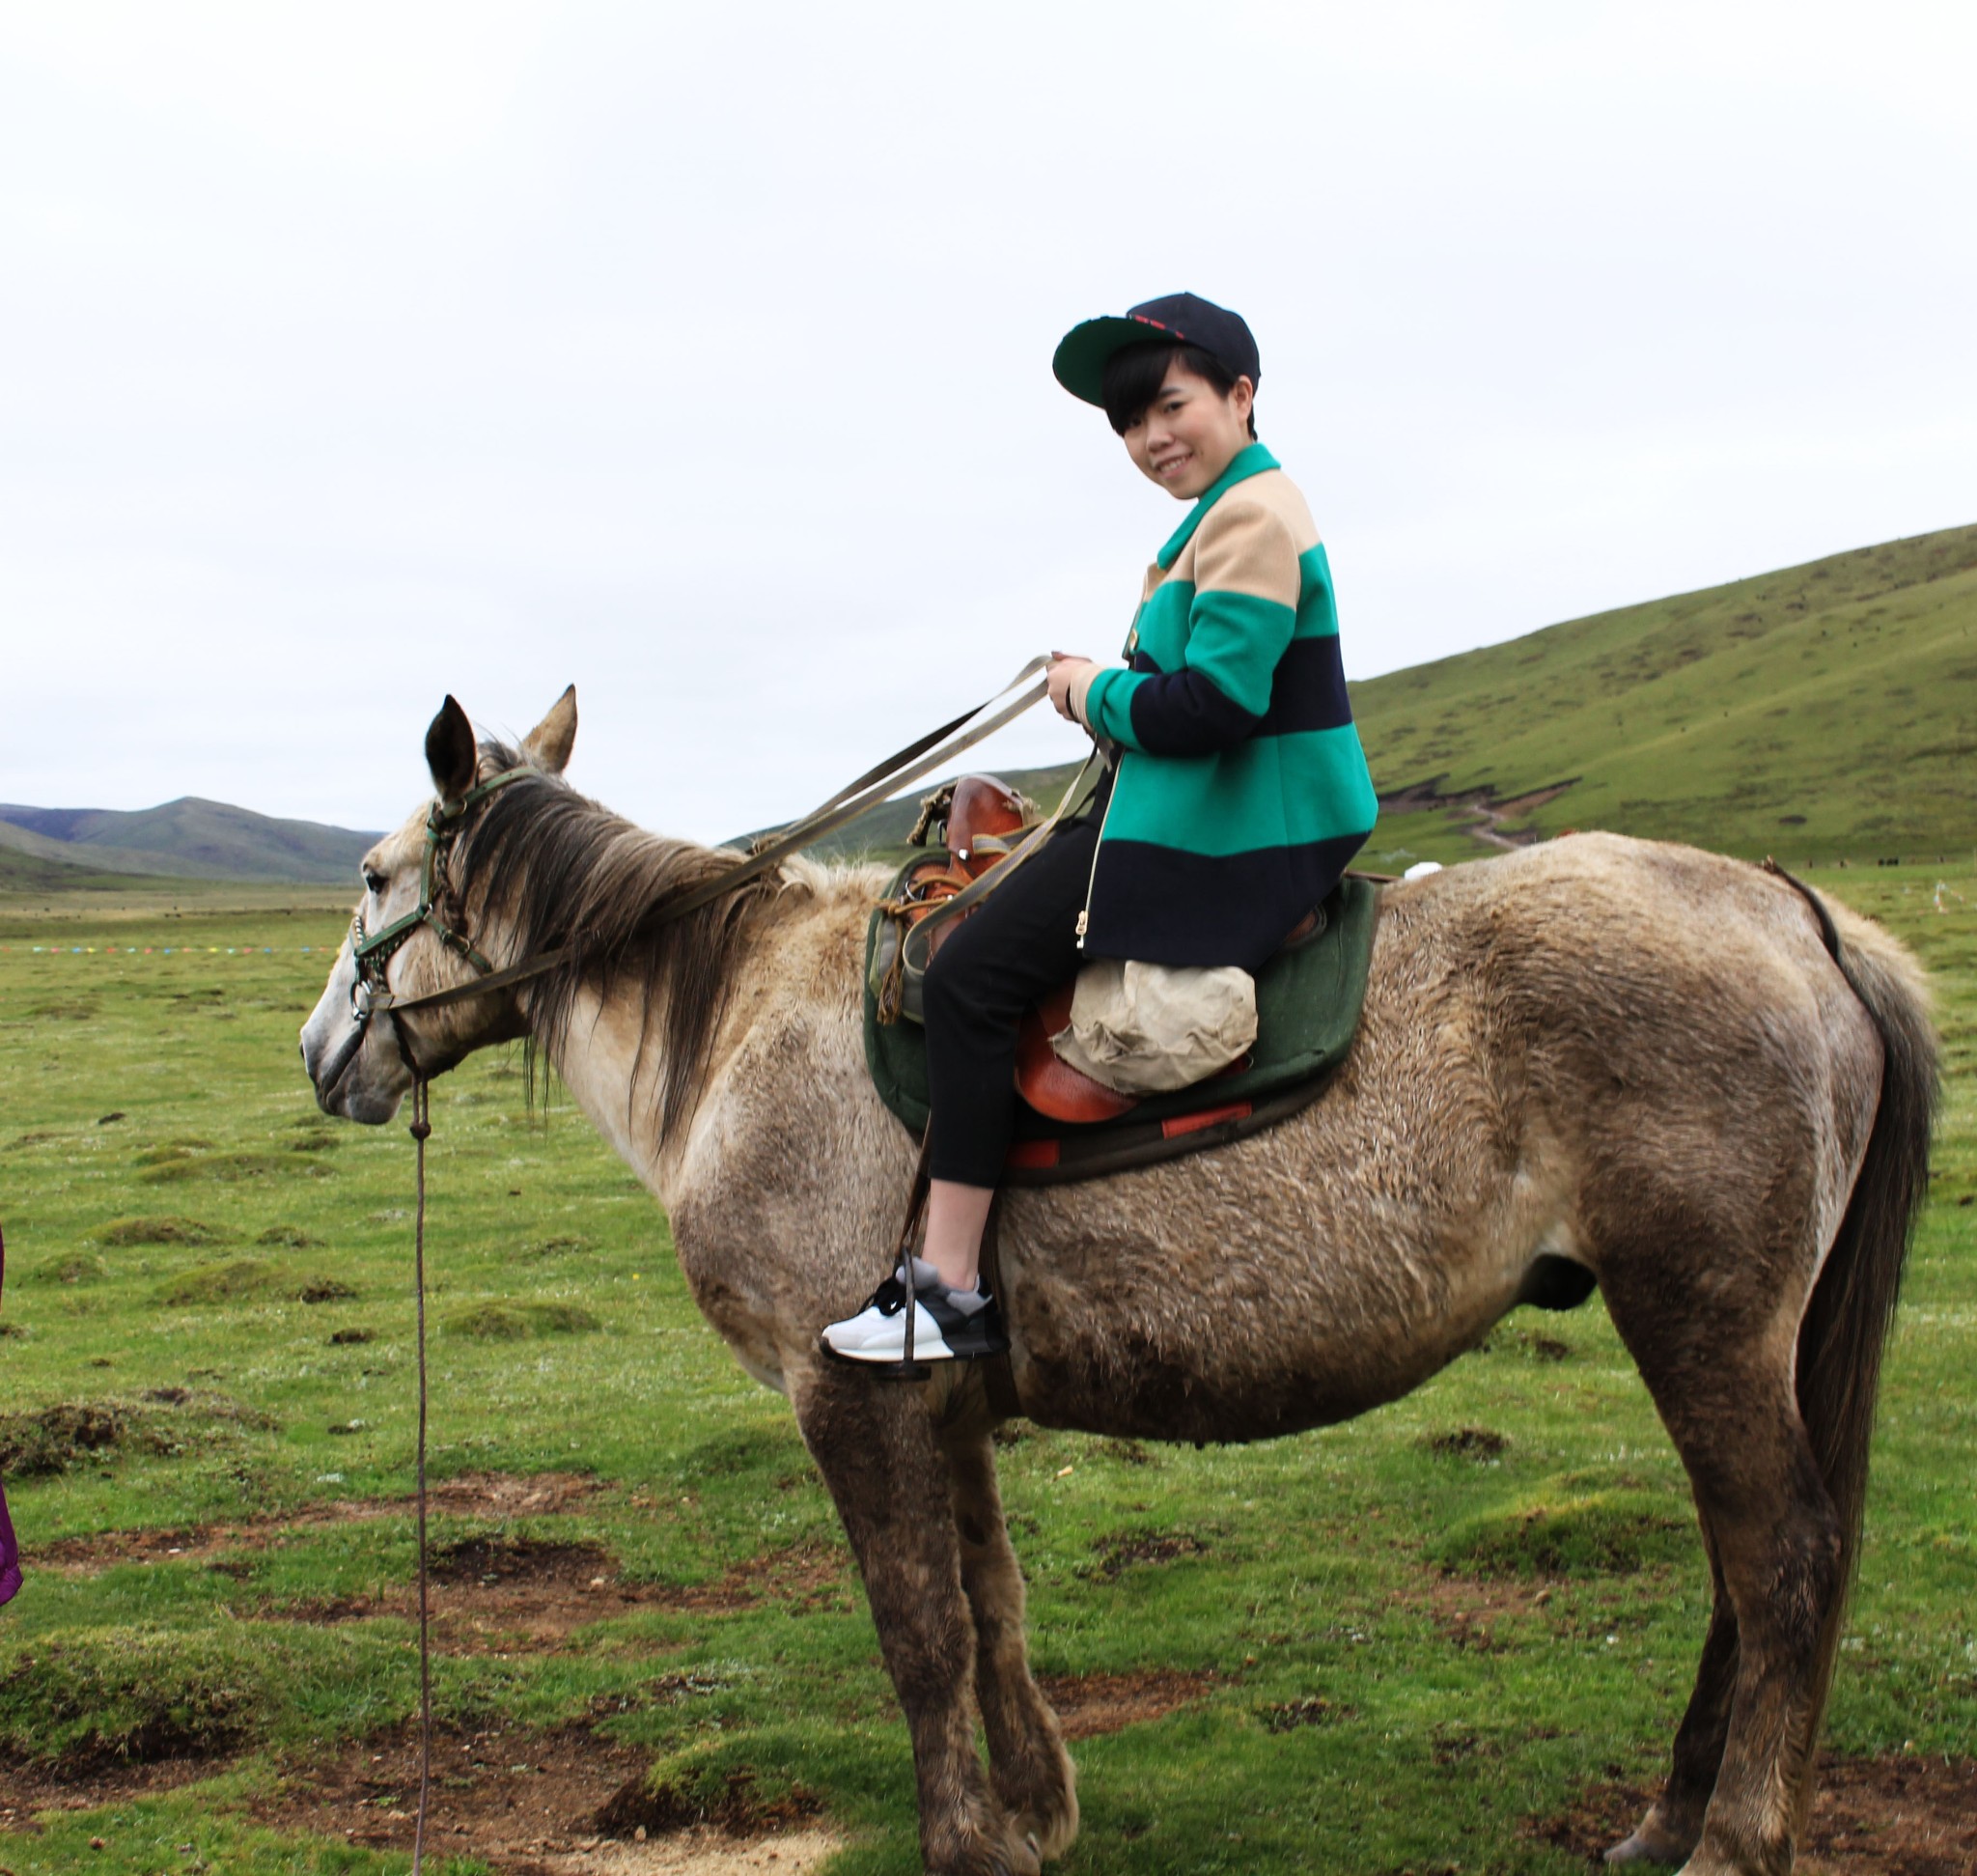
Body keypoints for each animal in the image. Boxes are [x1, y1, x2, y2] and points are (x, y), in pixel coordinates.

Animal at [300, 691, 1937, 1873]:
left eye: (376, 876)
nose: (323, 1056)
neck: (742, 1024)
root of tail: (1798, 913)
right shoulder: (937, 1398)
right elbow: (988, 1599)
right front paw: (1036, 1808)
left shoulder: (844, 1398)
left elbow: (916, 1628)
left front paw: (965, 1840)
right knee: (1749, 1562)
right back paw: (1667, 1817)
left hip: (1701, 1314)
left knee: (1783, 1556)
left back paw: (1730, 1839)